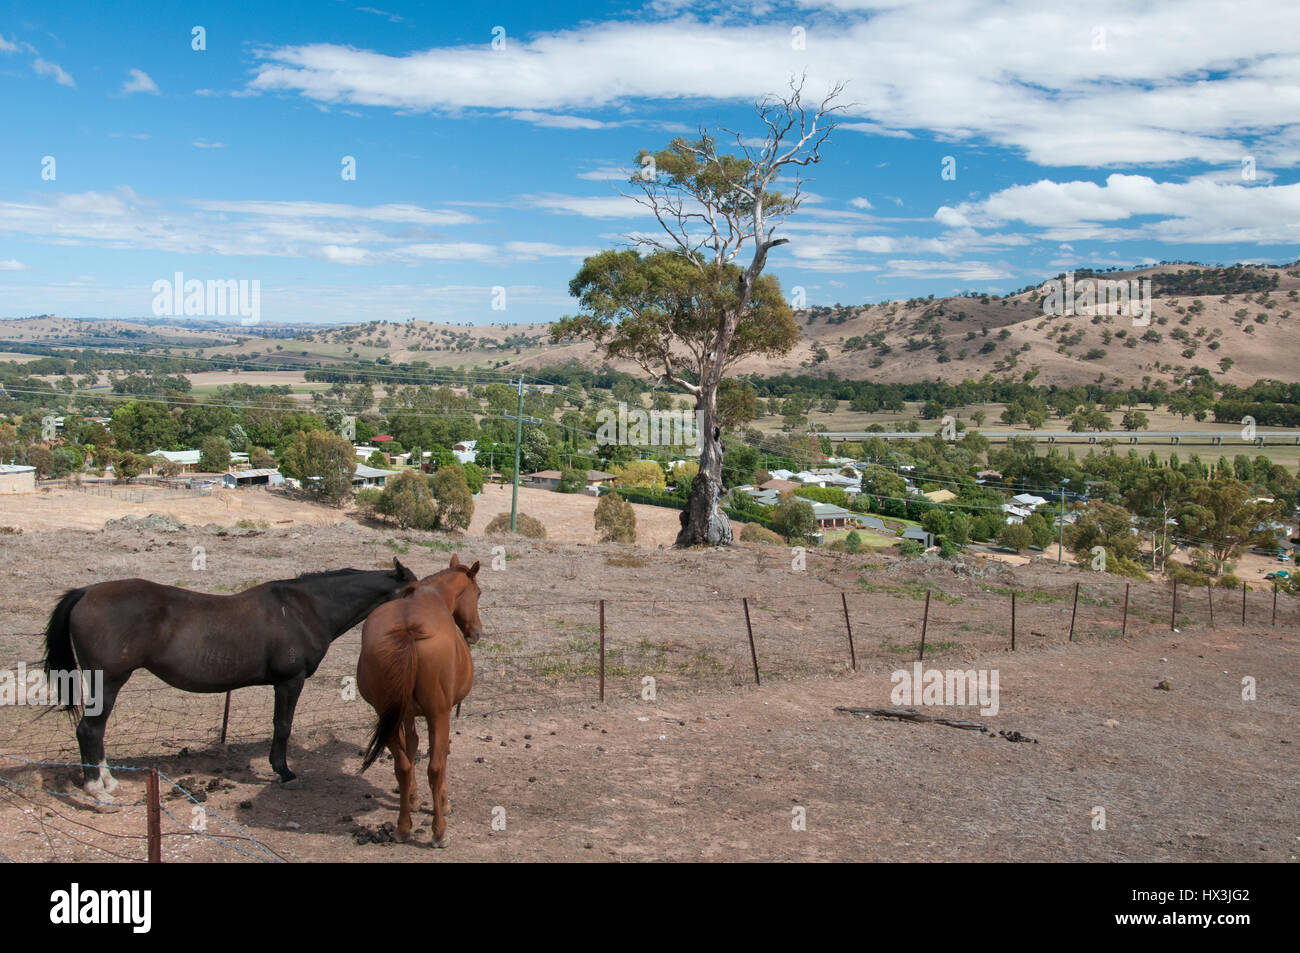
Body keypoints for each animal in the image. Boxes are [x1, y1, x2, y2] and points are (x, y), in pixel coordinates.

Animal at [42, 558, 418, 800]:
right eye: (415, 592)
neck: (305, 609)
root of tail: (87, 592)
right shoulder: (290, 681)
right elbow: (282, 725)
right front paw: (284, 772)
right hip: (107, 682)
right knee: (90, 730)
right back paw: (97, 790)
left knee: (97, 730)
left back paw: (108, 781)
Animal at [357, 554, 482, 848]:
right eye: (478, 593)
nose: (477, 633)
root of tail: (408, 630)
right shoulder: (441, 713)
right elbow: (440, 754)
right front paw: (444, 803)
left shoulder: (404, 713)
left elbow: (412, 746)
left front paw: (413, 799)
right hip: (438, 713)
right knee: (435, 766)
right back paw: (439, 831)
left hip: (386, 713)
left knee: (402, 765)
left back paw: (403, 828)